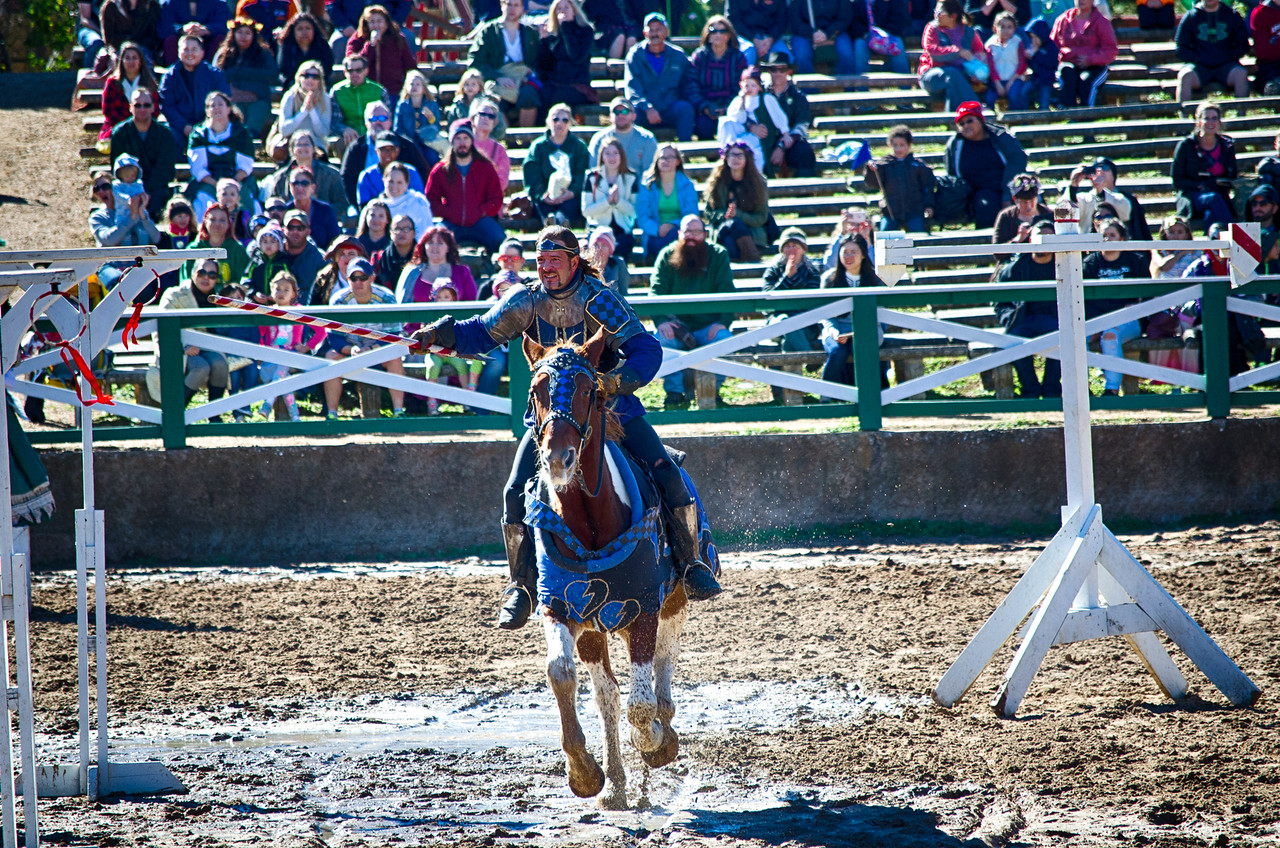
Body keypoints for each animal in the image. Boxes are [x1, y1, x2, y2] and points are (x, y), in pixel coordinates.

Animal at [517, 330, 706, 809]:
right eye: (536, 391)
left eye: (589, 390)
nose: (558, 458)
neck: (590, 519)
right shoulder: (561, 605)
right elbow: (561, 674)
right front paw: (584, 772)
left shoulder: (643, 608)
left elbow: (643, 704)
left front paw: (656, 743)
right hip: (595, 626)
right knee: (609, 696)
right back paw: (619, 787)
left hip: (673, 602)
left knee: (661, 671)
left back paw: (662, 734)